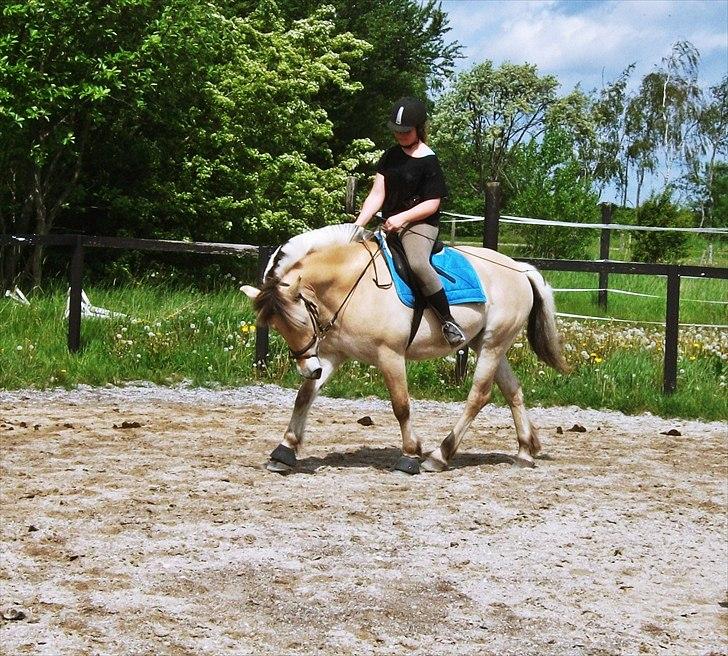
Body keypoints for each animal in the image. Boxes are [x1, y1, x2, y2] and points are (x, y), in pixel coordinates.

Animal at [242, 223, 572, 474]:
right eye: (278, 328)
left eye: (301, 321)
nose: (309, 369)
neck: (352, 285)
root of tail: (519, 269)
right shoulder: (334, 354)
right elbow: (304, 397)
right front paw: (284, 451)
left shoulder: (390, 355)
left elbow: (401, 405)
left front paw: (410, 455)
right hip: (488, 344)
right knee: (513, 391)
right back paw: (525, 451)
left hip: (492, 344)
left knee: (479, 396)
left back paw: (440, 456)